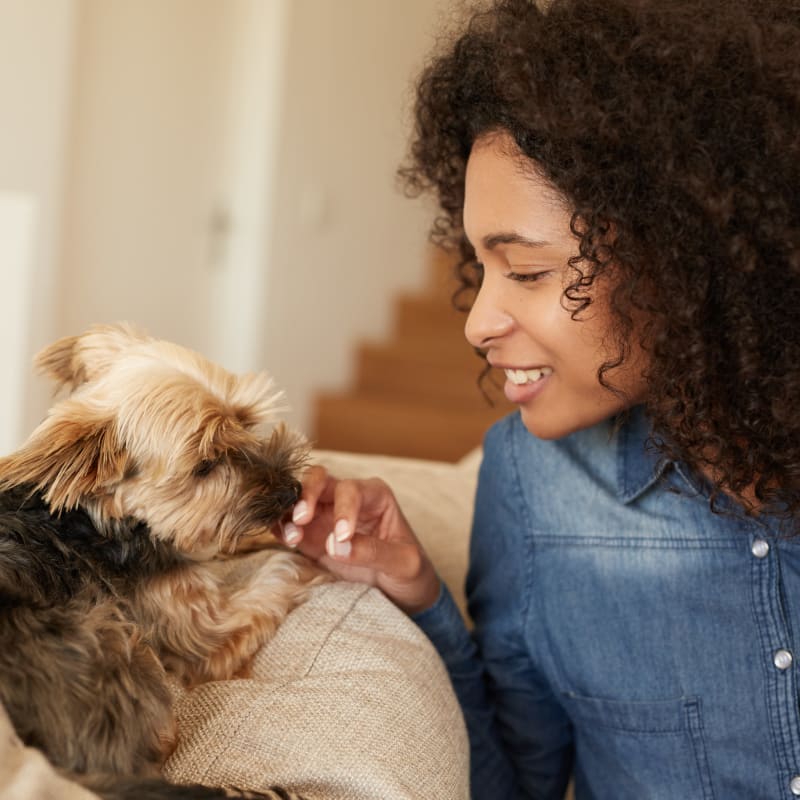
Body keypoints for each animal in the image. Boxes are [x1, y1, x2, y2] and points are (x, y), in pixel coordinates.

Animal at [0, 324, 328, 800]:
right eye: (205, 465)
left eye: (245, 422)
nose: (292, 492)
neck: (100, 520)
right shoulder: (202, 628)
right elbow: (268, 579)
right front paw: (315, 559)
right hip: (118, 636)